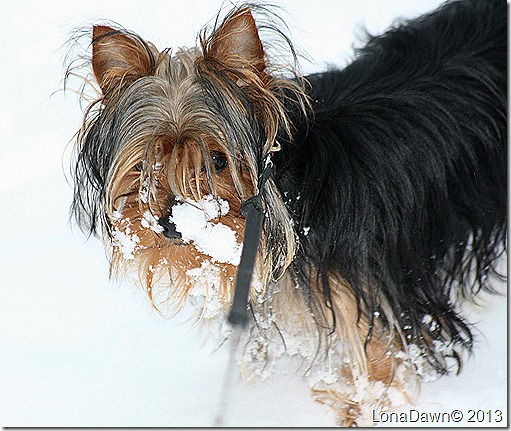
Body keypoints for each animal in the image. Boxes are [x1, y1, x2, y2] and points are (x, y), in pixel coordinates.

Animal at [69, 0, 506, 425]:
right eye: (145, 165)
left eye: (218, 160)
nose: (172, 223)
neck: (291, 203)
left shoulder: (379, 289)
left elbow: (381, 357)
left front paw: (362, 409)